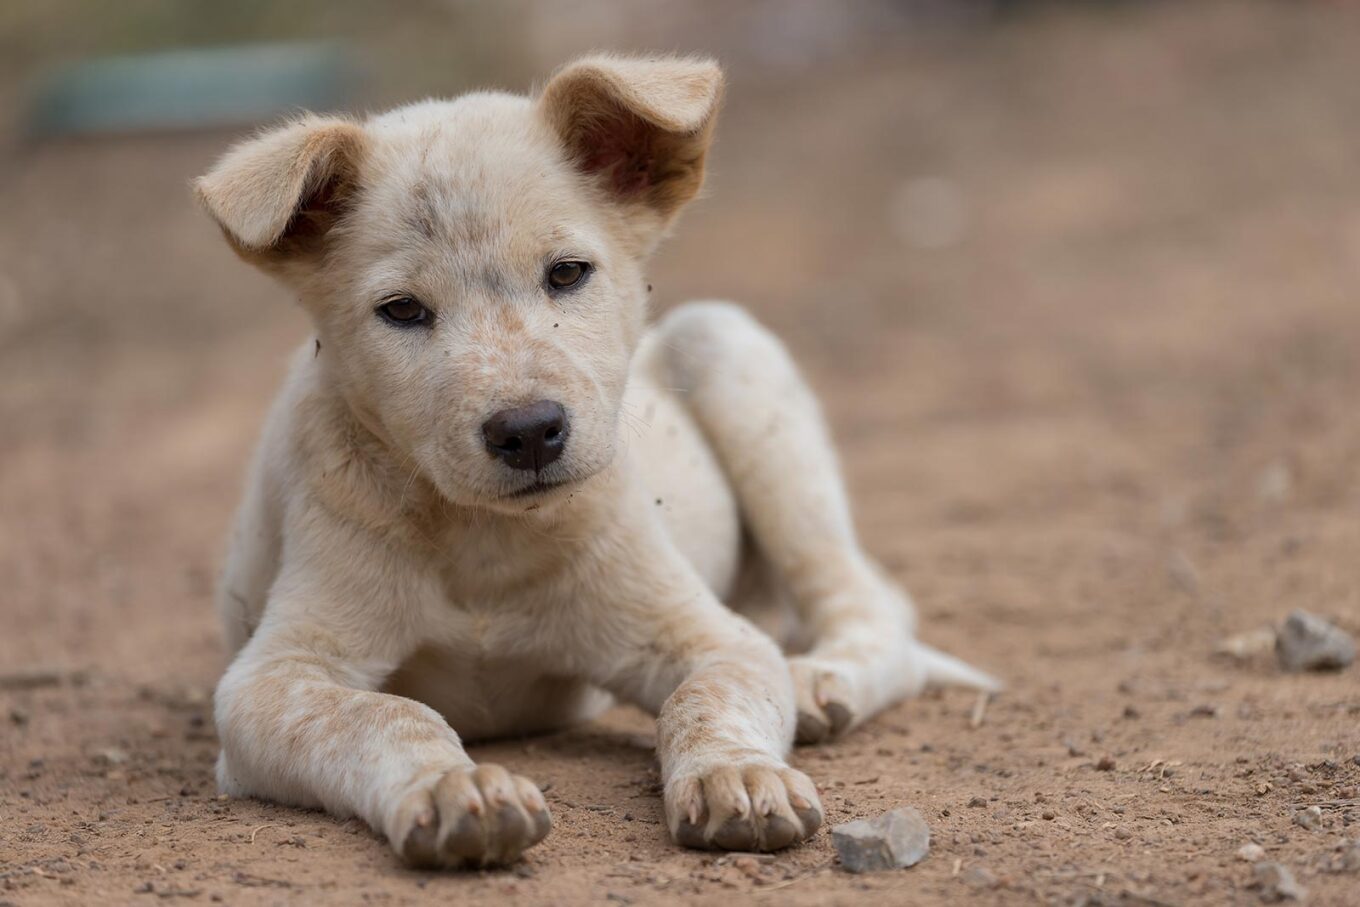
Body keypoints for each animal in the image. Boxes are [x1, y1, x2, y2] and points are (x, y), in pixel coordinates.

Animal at [197, 51, 995, 870]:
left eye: (567, 272)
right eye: (402, 310)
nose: (527, 431)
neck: (485, 542)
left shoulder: (710, 637)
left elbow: (702, 698)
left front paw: (738, 777)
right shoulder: (272, 679)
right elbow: (388, 715)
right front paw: (459, 790)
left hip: (730, 352)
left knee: (871, 606)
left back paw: (817, 683)